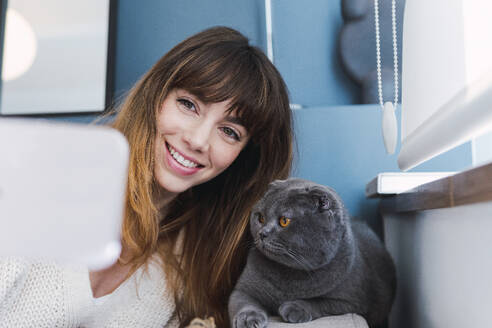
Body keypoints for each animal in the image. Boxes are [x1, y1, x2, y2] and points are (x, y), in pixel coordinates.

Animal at [230, 178, 396, 328]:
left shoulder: (353, 302)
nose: (262, 234)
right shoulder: (243, 289)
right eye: (261, 218)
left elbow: (321, 302)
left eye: (284, 221)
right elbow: (244, 302)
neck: (289, 276)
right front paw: (248, 319)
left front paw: (295, 308)